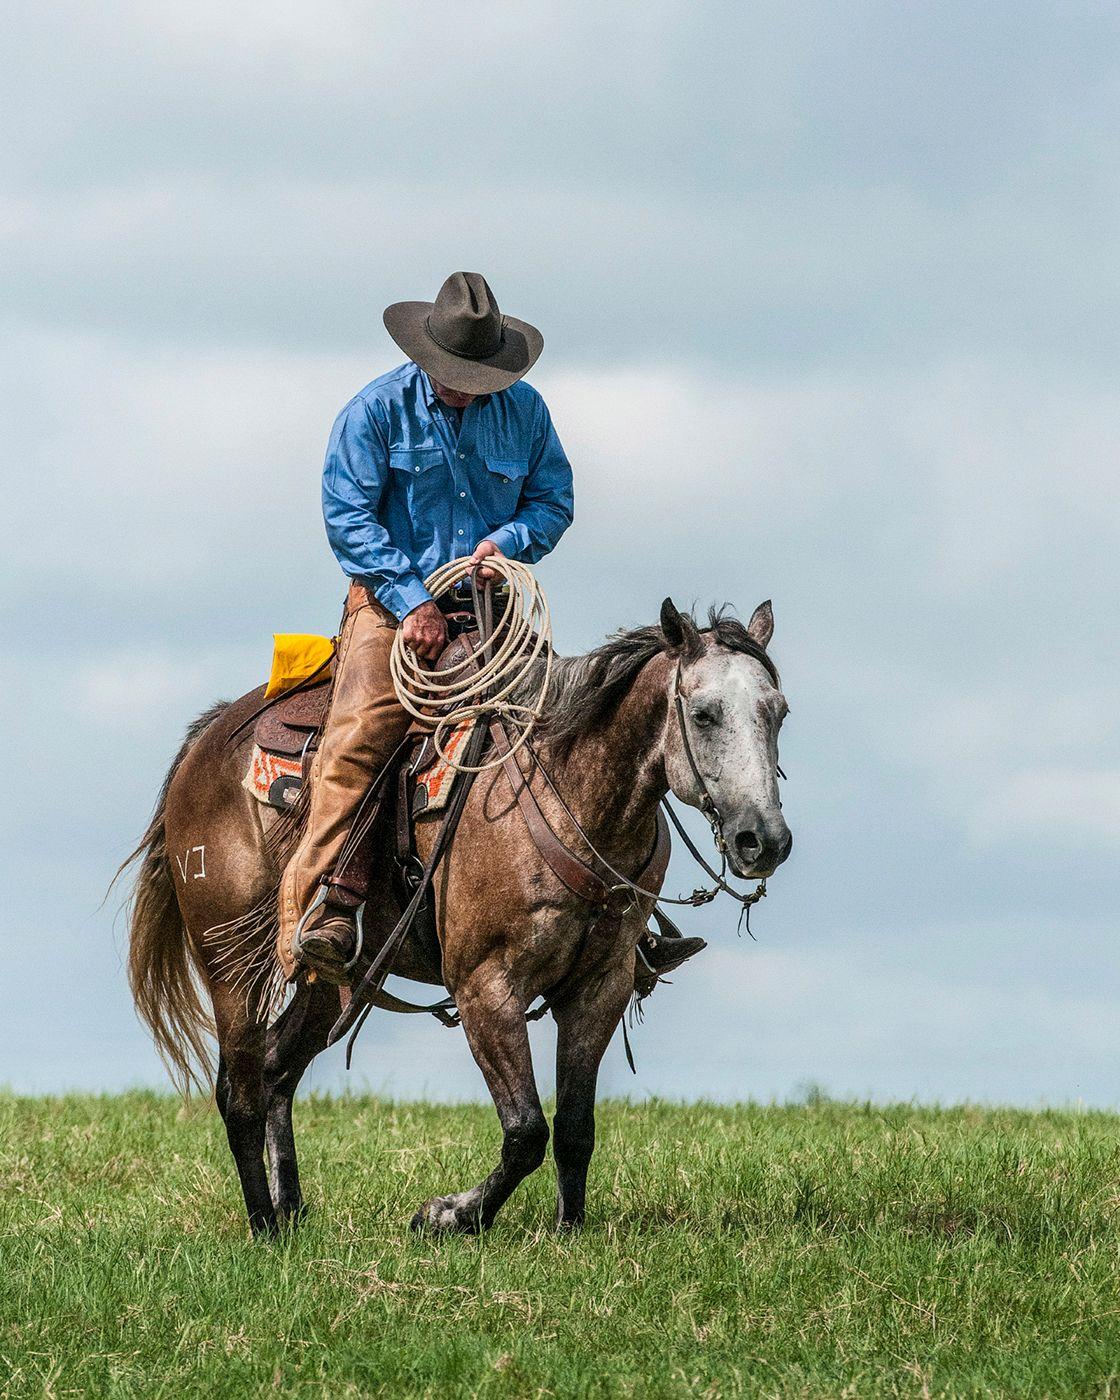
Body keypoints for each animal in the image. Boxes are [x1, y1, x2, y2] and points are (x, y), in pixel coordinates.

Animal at [120, 593, 789, 1237]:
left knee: (276, 1068)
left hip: (331, 980)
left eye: (777, 712)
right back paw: (263, 1227)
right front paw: (448, 1215)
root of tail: (206, 741)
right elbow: (526, 1131)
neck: (568, 795)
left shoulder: (601, 987)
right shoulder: (485, 988)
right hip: (228, 964)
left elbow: (575, 1128)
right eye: (704, 713)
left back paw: (292, 1211)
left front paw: (569, 1232)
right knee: (239, 1093)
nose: (764, 840)